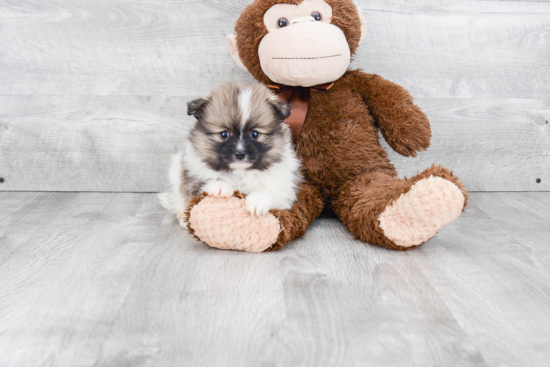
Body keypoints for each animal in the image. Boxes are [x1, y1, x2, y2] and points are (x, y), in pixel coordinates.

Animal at [160, 82, 304, 229]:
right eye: (224, 134)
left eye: (254, 134)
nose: (240, 154)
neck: (240, 172)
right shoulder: (191, 178)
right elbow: (203, 182)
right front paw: (220, 187)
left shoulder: (285, 189)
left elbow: (269, 191)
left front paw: (257, 201)